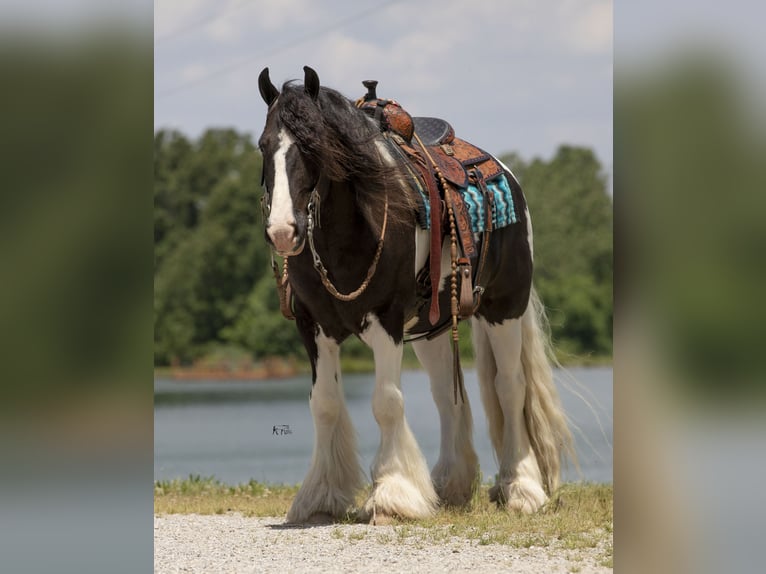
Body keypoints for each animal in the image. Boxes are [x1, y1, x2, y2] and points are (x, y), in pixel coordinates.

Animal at [258, 65, 576, 524]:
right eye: (263, 145)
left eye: (312, 146)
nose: (284, 231)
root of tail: (506, 173)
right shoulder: (313, 325)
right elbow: (325, 404)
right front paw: (320, 497)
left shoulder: (386, 320)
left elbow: (387, 402)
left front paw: (393, 495)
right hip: (432, 328)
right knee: (447, 395)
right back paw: (451, 485)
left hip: (505, 308)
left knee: (510, 387)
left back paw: (522, 488)